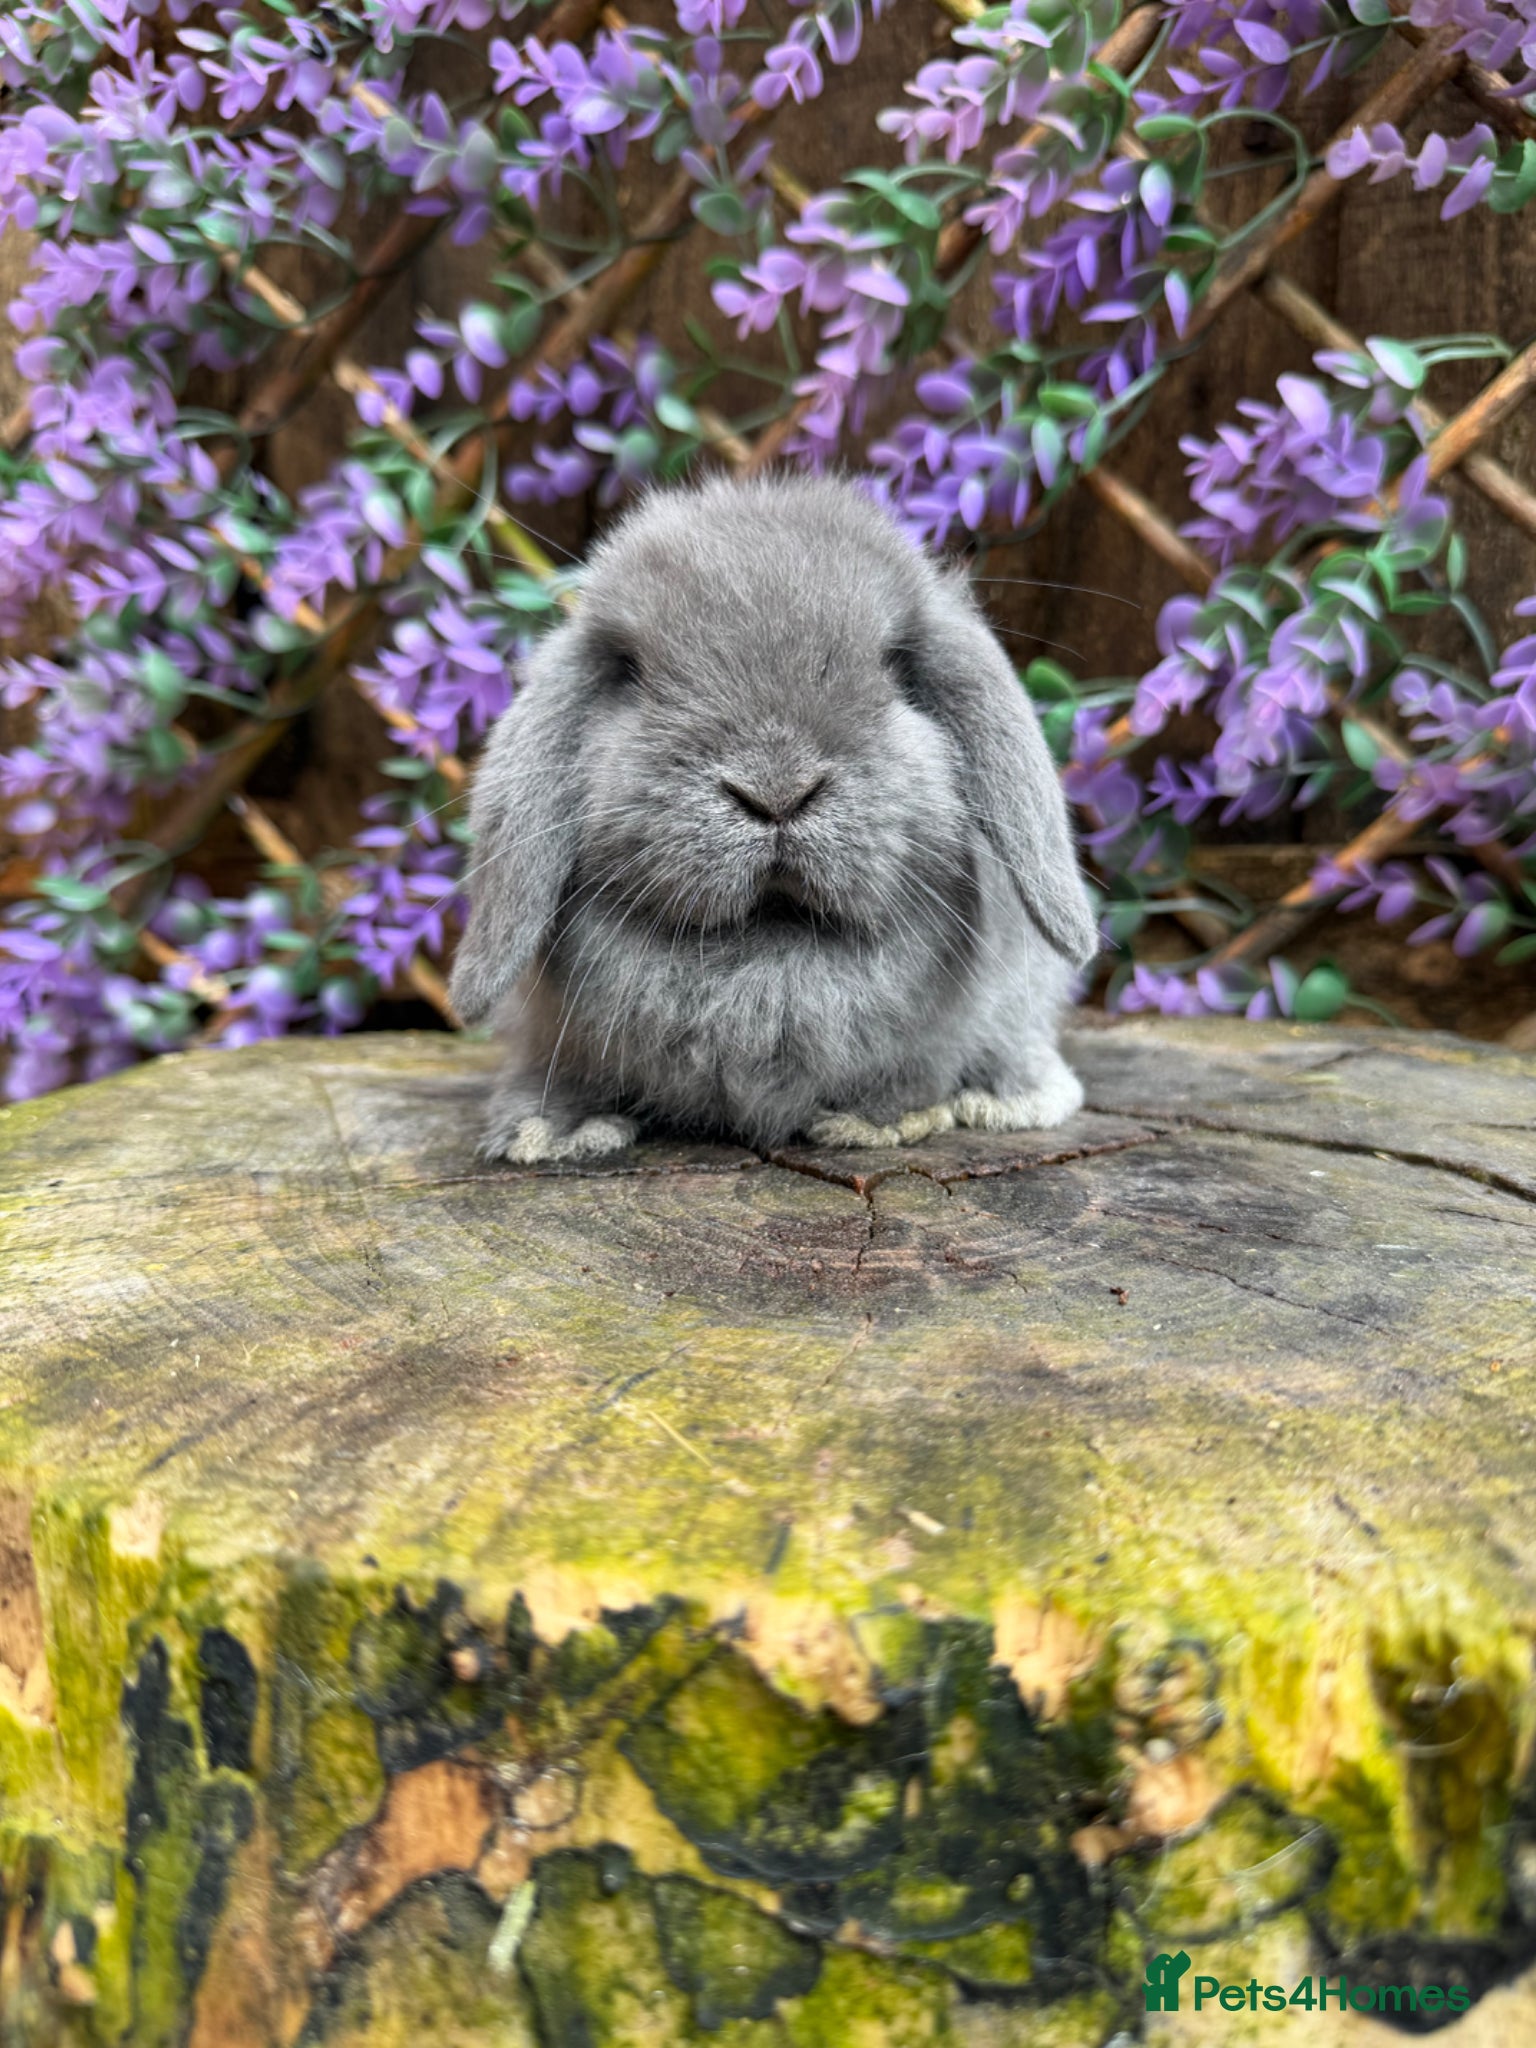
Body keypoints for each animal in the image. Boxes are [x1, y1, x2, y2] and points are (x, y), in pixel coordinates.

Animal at [449, 472, 1100, 1163]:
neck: (768, 961)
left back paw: (1012, 1100)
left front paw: (880, 1121)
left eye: (897, 664)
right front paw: (550, 1132)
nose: (776, 790)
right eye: (630, 671)